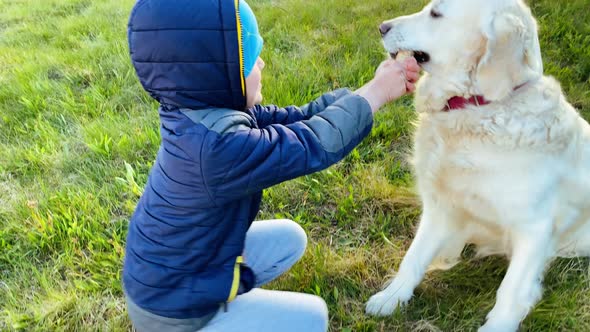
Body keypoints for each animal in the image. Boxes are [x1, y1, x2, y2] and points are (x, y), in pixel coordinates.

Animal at [366, 1, 590, 330]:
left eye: (436, 13)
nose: (382, 27)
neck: (477, 109)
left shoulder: (534, 227)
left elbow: (510, 290)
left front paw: (499, 324)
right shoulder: (440, 206)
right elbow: (414, 256)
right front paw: (392, 297)